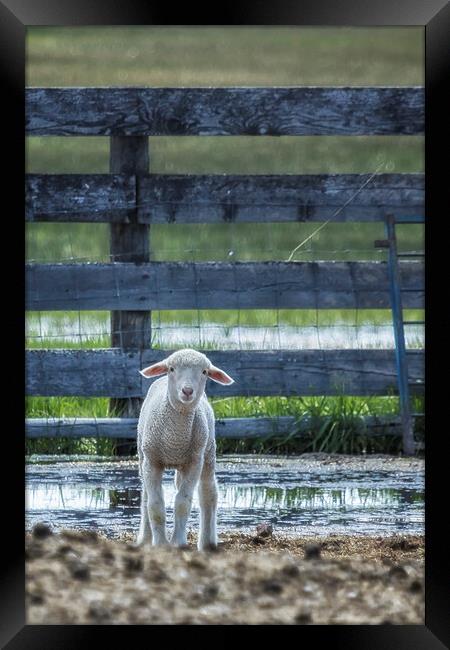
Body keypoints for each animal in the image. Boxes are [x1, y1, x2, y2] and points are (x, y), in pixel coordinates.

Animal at [136, 346, 236, 548]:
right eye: (172, 369)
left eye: (204, 372)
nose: (187, 391)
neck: (175, 439)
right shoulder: (152, 461)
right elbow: (154, 504)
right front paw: (160, 543)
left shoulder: (194, 462)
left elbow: (183, 503)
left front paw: (178, 542)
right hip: (144, 456)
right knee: (145, 496)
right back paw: (145, 538)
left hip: (207, 452)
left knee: (208, 493)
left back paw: (207, 542)